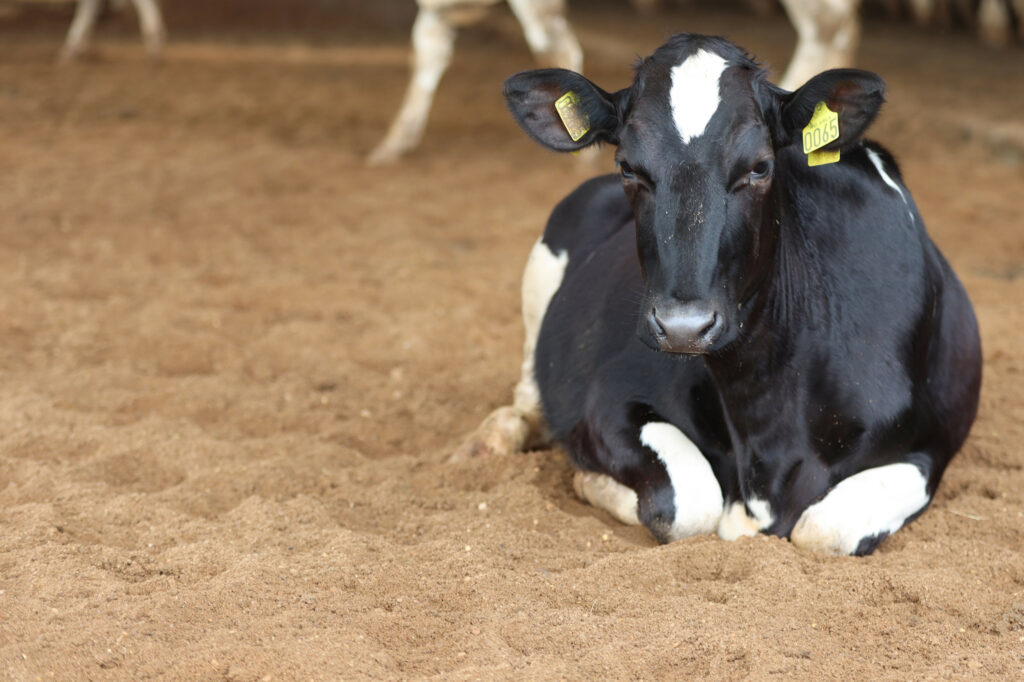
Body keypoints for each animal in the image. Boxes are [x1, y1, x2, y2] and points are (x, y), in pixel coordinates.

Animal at [458, 33, 983, 552]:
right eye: (628, 167)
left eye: (760, 167)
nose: (683, 327)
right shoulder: (607, 397)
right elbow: (692, 504)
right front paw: (590, 481)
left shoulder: (926, 451)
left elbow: (823, 528)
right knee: (528, 393)